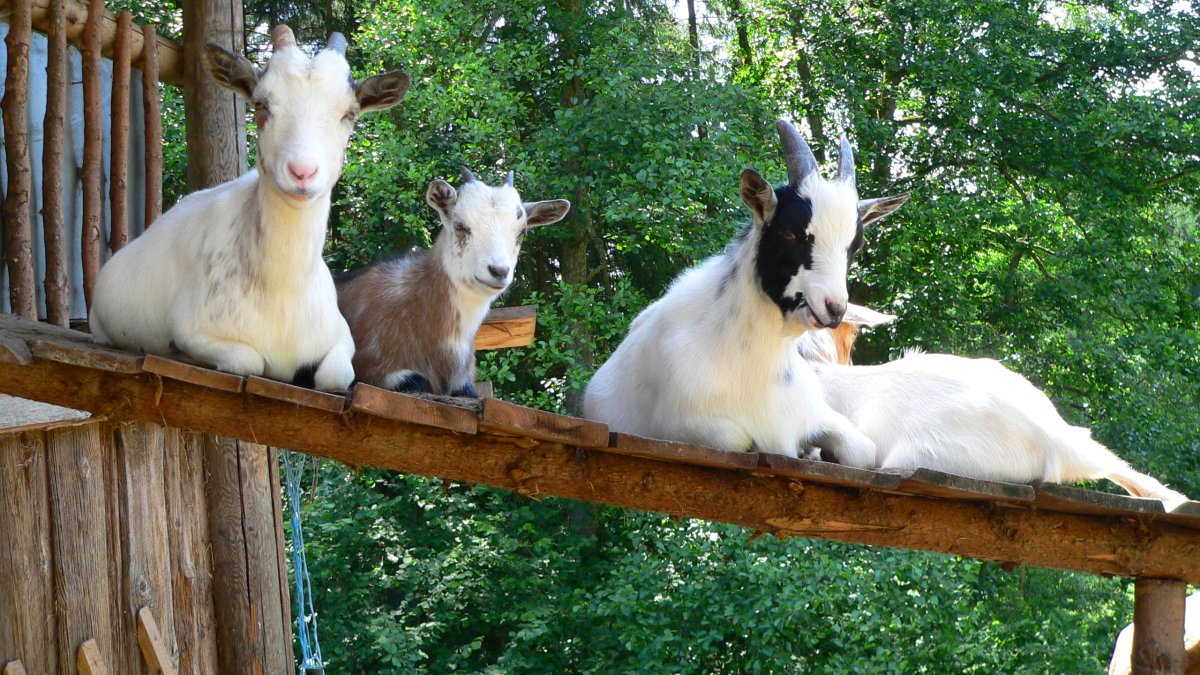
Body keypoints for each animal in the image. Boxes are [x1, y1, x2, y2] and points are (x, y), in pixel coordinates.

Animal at [87, 28, 410, 391]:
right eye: (261, 104)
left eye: (349, 114)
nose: (302, 172)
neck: (283, 294)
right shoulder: (195, 331)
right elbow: (249, 360)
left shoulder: (341, 338)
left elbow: (336, 374)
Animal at [583, 119, 907, 461]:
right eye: (791, 233)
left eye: (854, 245)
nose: (834, 307)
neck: (758, 363)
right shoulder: (676, 425)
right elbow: (739, 439)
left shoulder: (814, 414)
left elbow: (863, 449)